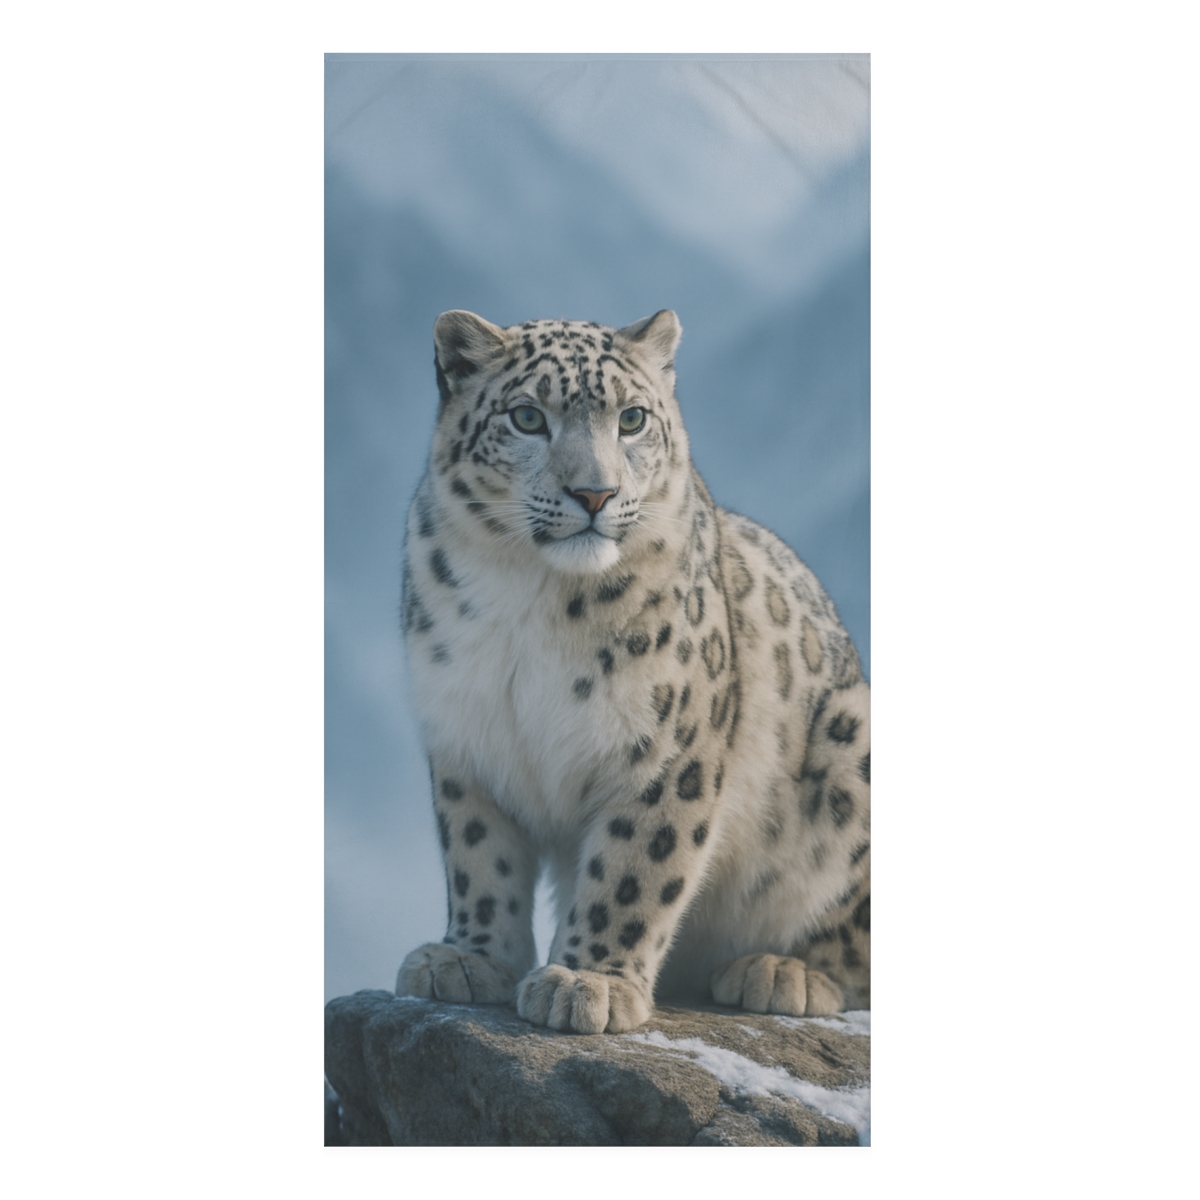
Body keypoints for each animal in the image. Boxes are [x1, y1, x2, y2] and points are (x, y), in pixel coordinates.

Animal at [395, 309, 870, 1034]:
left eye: (634, 418)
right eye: (527, 417)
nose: (595, 492)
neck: (530, 598)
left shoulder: (667, 746)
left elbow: (635, 864)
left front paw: (589, 982)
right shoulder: (464, 737)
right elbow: (478, 854)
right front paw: (469, 958)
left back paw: (782, 972)